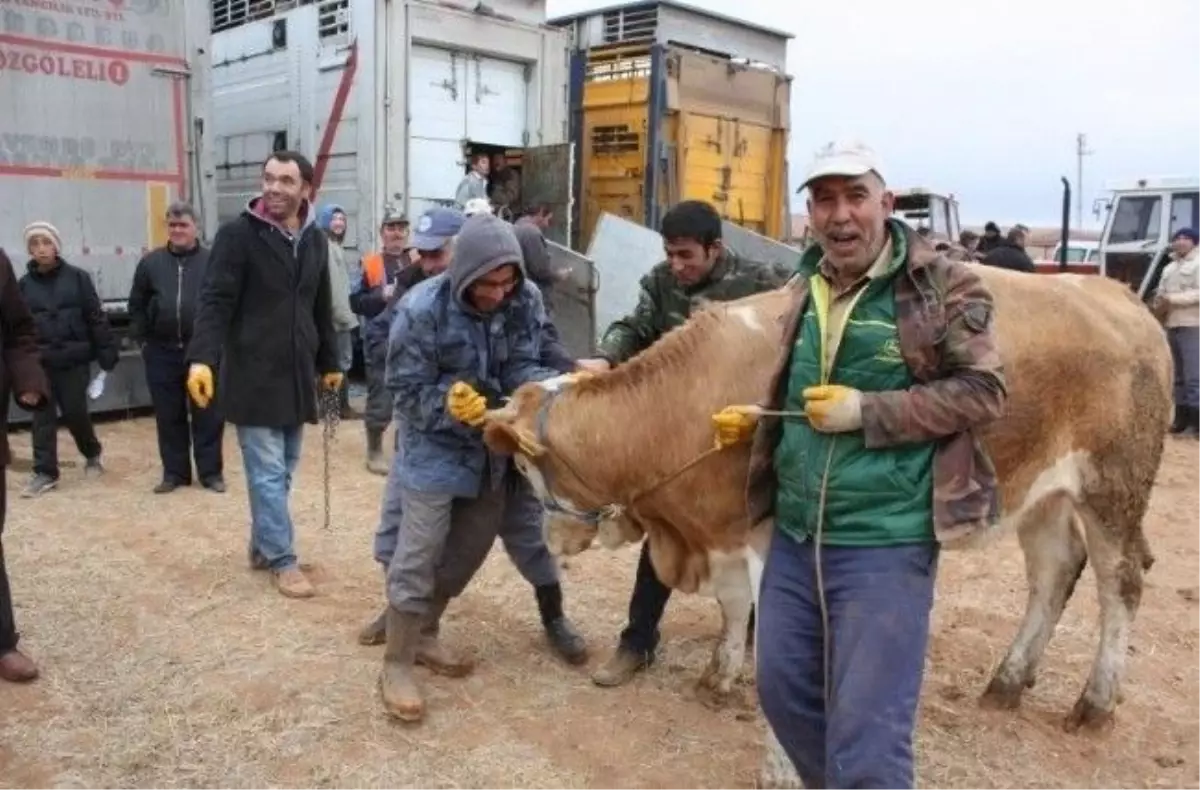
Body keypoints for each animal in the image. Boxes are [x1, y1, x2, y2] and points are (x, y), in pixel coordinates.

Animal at [475, 262, 1161, 782]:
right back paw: (1009, 680)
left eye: (531, 471)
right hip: (1044, 495)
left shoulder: (771, 541)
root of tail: (1118, 295)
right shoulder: (726, 530)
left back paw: (1096, 700)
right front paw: (719, 675)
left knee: (1120, 583)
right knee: (1053, 575)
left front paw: (779, 763)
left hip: (1113, 489)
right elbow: (733, 608)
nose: (555, 541)